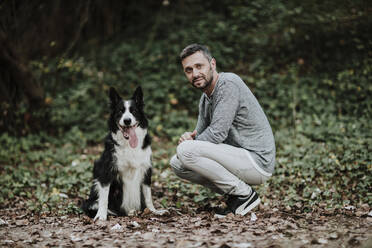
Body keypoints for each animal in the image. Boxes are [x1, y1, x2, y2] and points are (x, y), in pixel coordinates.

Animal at [82, 86, 165, 220]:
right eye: (120, 111)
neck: (129, 145)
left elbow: (148, 196)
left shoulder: (146, 170)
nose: (127, 120)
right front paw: (101, 216)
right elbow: (104, 198)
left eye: (133, 111)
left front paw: (153, 211)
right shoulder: (106, 171)